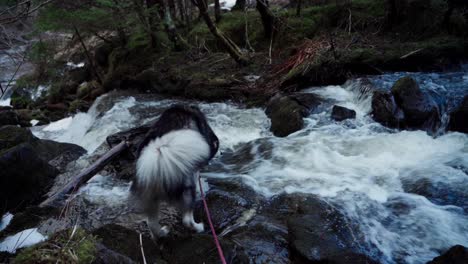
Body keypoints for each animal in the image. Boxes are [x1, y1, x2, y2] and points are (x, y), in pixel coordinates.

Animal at [131, 104, 218, 238]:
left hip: (149, 195)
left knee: (151, 223)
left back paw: (162, 232)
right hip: (187, 189)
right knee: (187, 220)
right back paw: (199, 227)